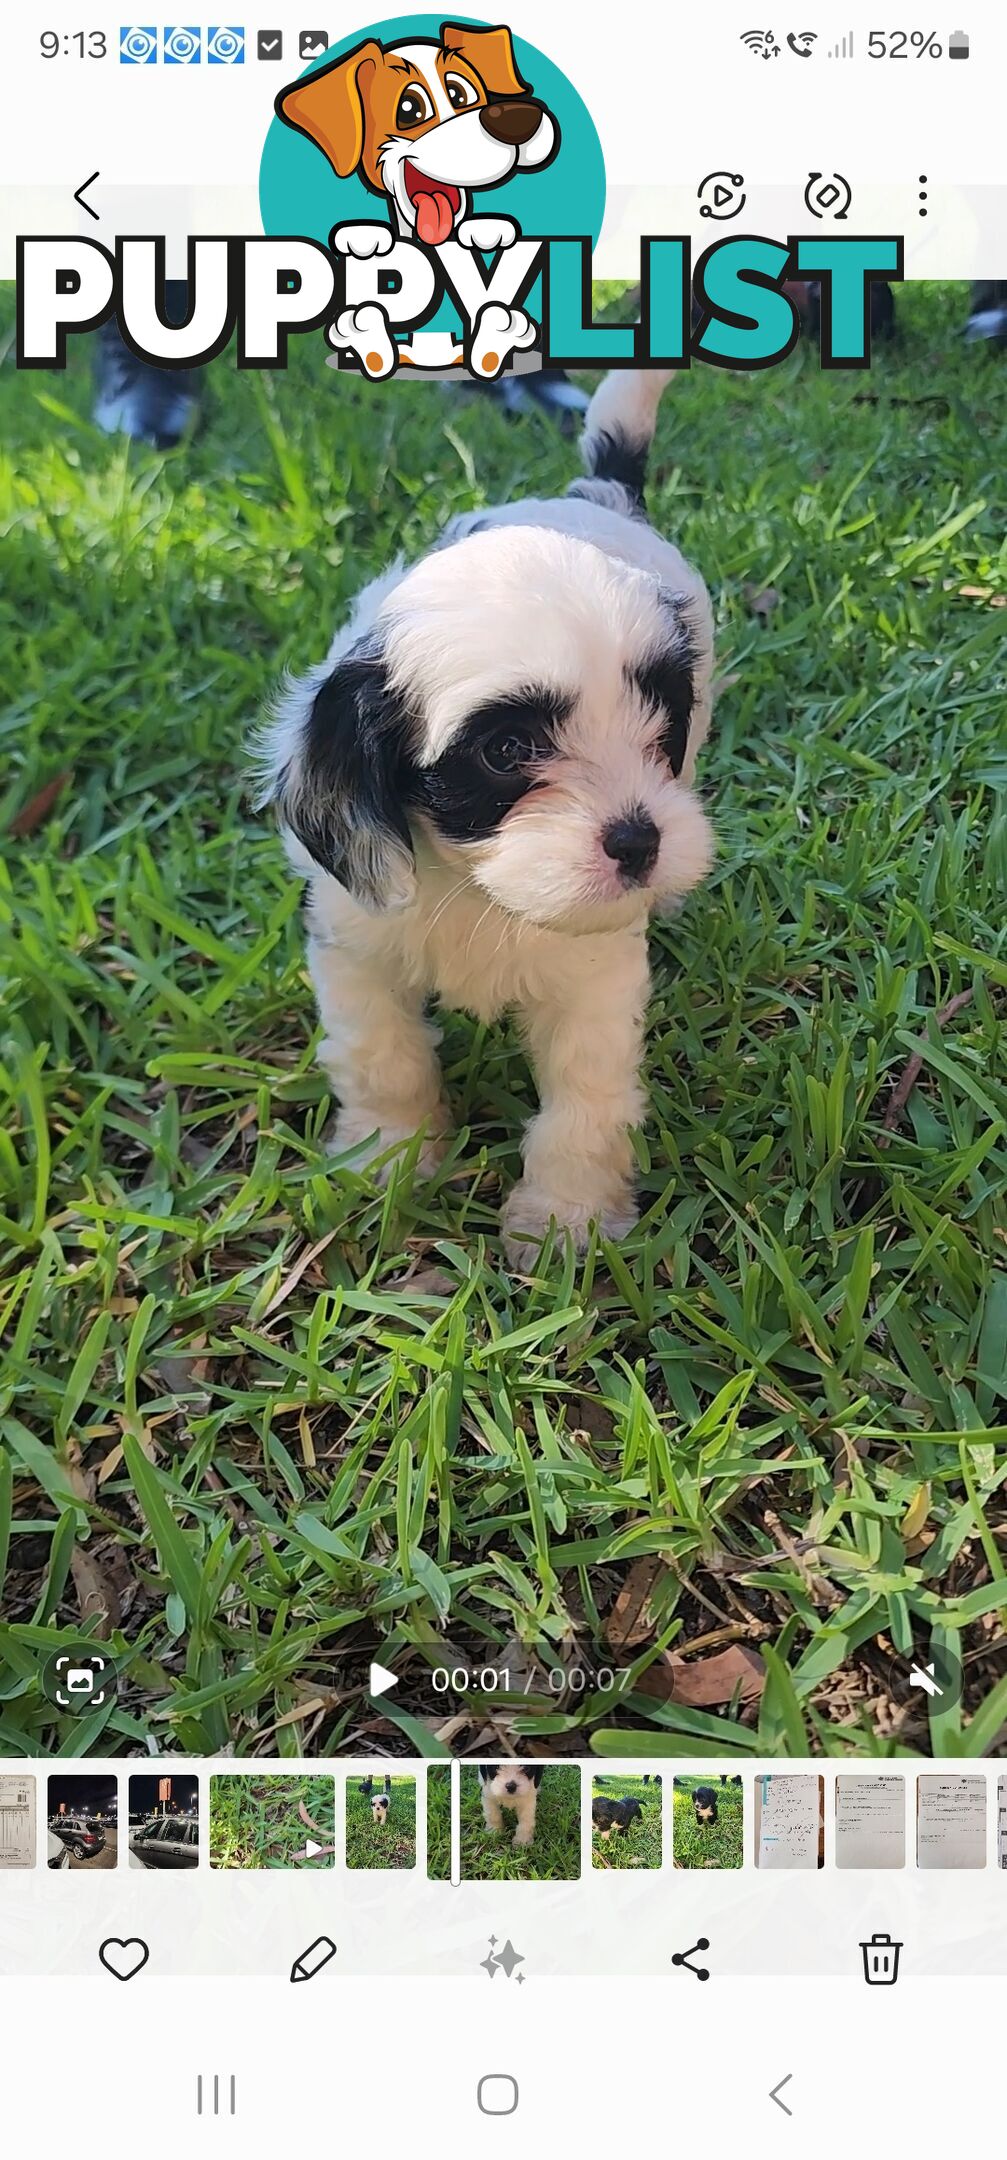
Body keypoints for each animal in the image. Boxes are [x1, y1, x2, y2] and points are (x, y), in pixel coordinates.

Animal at [259, 362, 717, 1261]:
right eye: (505, 751)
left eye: (659, 720)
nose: (638, 842)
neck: (478, 887)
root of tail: (594, 494)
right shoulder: (355, 945)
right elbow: (385, 1056)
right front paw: (390, 1159)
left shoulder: (595, 978)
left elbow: (585, 1100)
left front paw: (567, 1219)